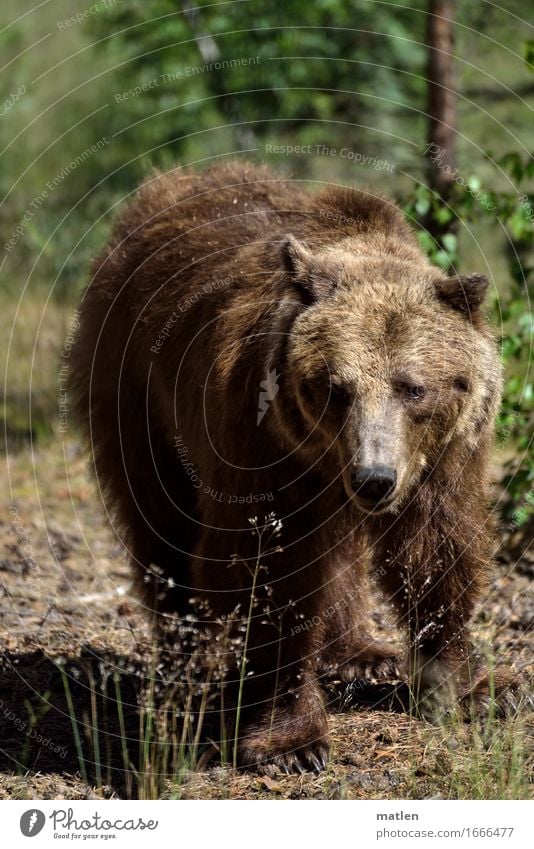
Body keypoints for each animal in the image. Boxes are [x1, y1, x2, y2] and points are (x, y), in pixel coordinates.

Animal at [71, 161, 506, 776]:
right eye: (335, 389)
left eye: (413, 388)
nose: (375, 480)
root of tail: (162, 187)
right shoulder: (260, 446)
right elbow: (270, 569)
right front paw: (291, 742)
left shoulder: (442, 457)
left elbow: (438, 548)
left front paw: (475, 687)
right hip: (133, 392)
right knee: (163, 527)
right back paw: (190, 662)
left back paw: (361, 653)